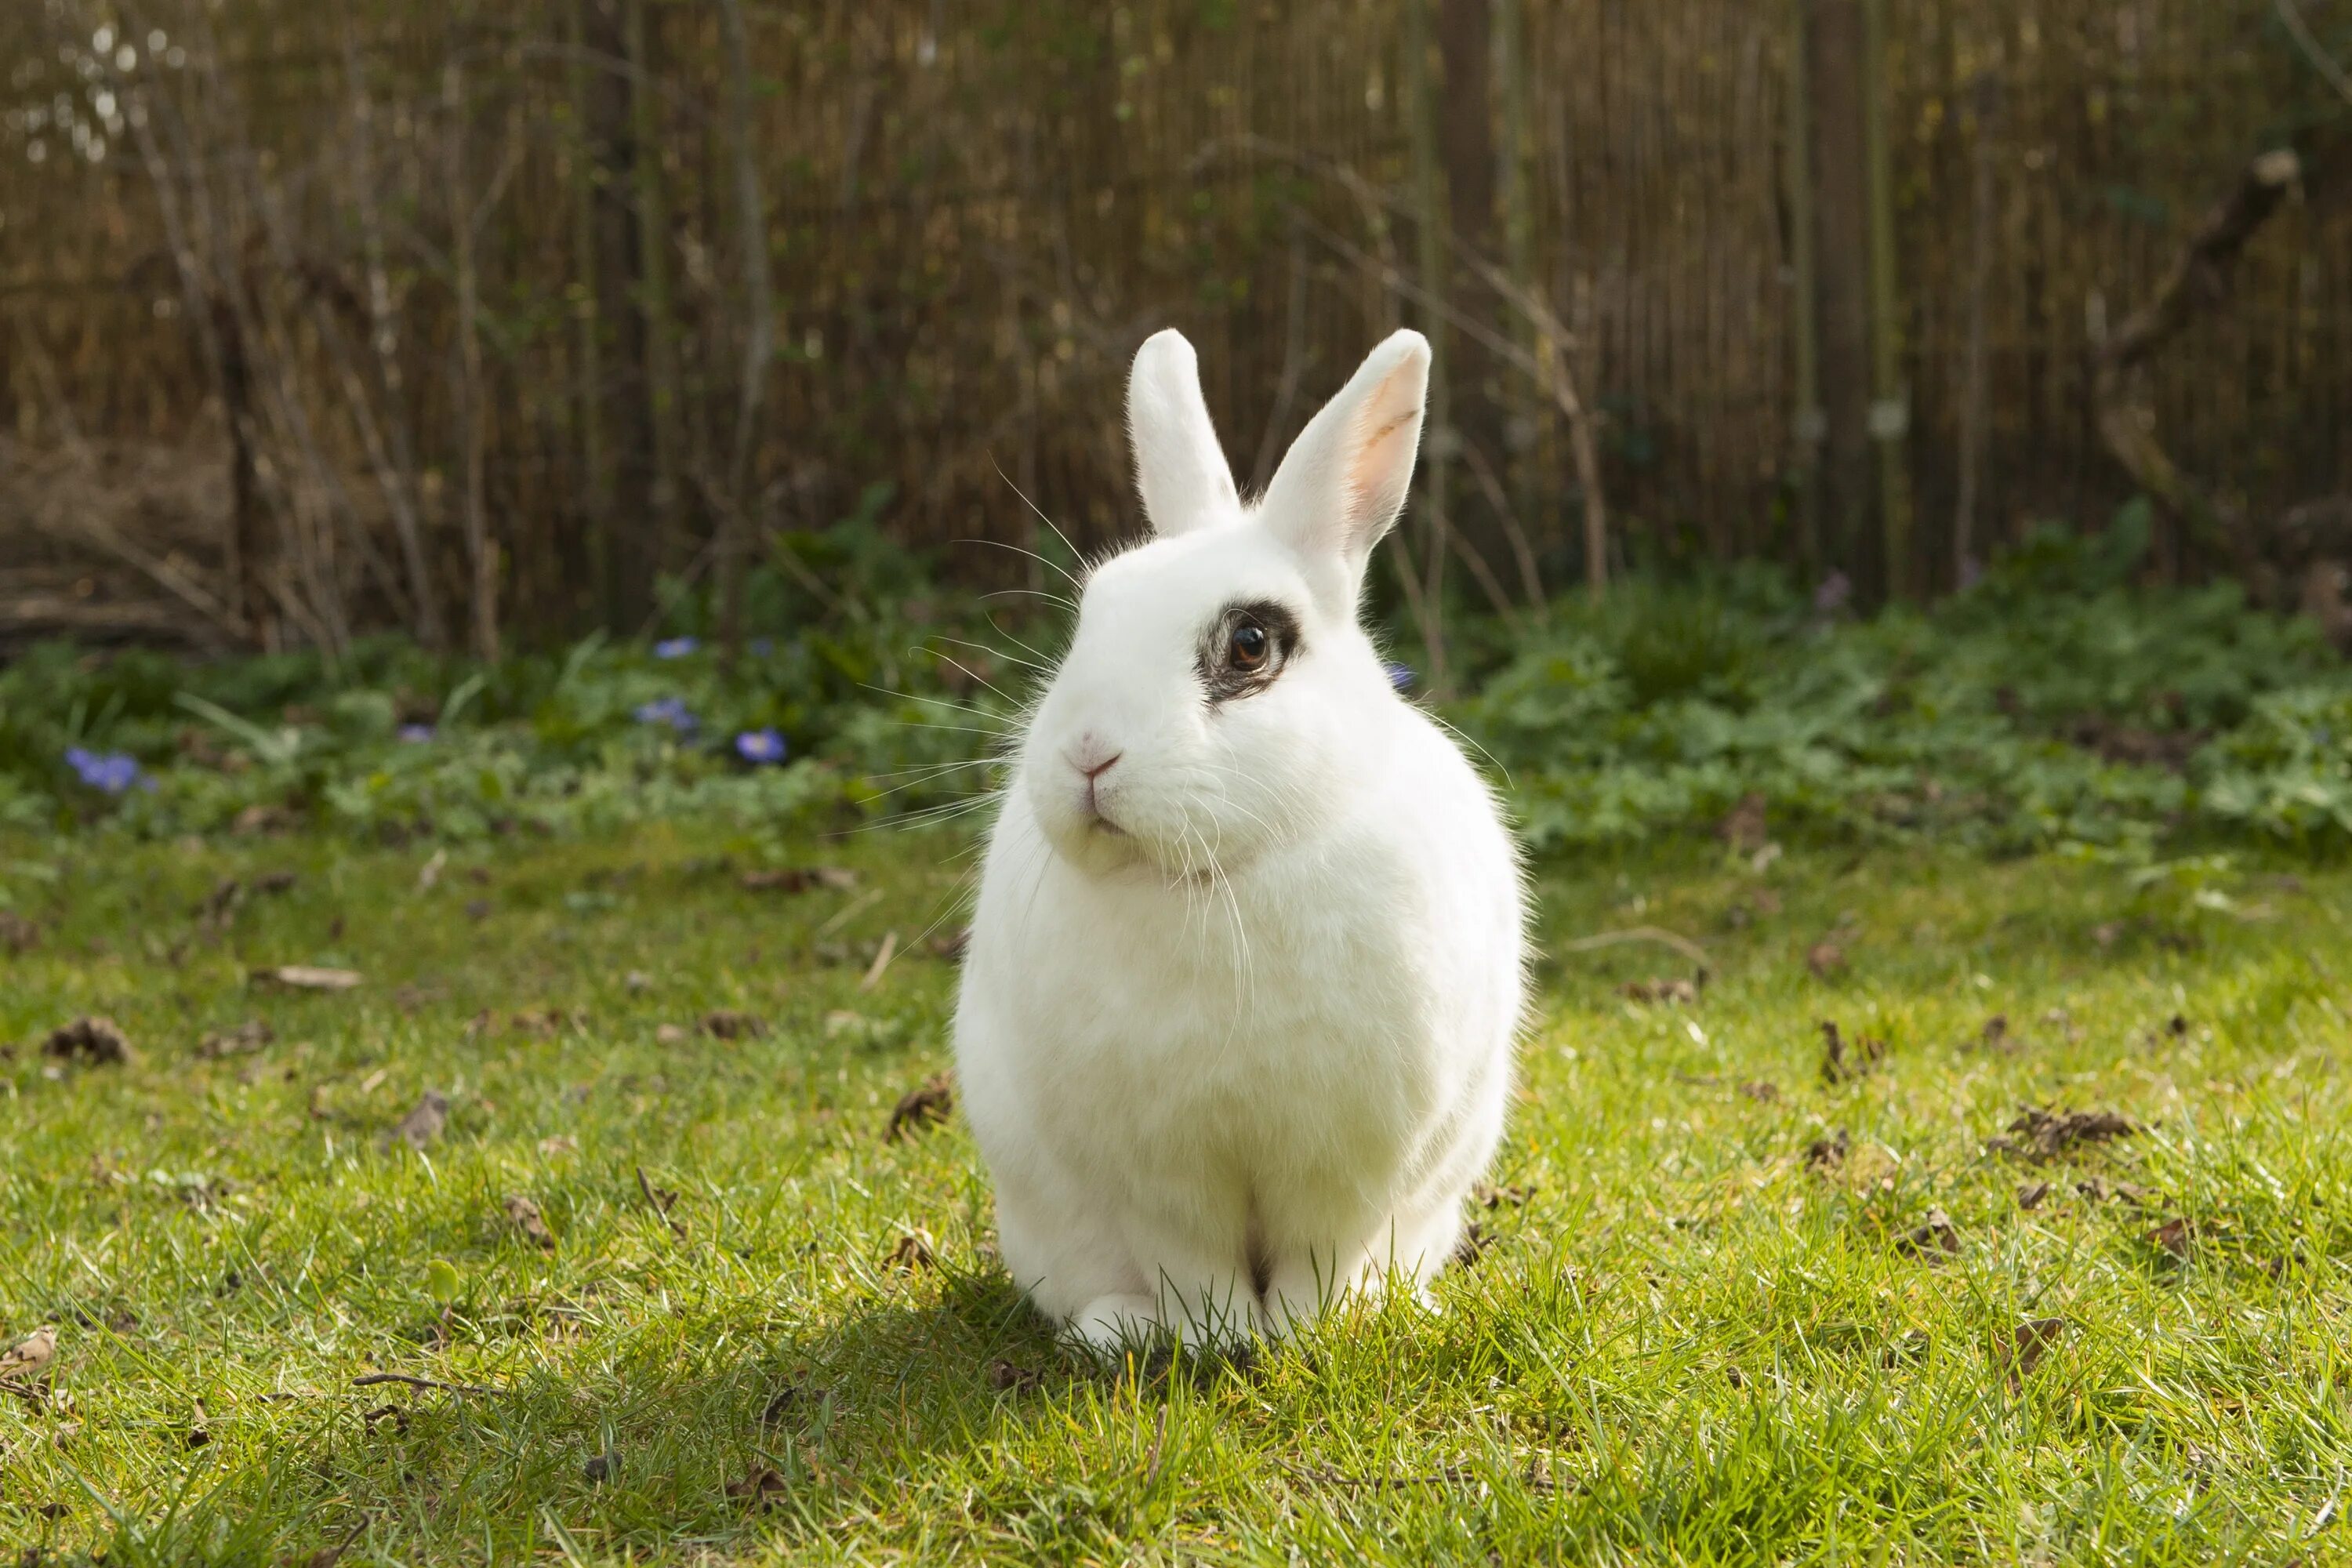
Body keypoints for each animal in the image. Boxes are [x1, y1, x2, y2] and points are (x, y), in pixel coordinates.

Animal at [955, 328, 1524, 1354]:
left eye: (1251, 643)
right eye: (1090, 616)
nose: (1088, 751)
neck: (1217, 875)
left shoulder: (1347, 1160)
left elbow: (1320, 1252)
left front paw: (1304, 1332)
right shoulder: (1157, 1172)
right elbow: (1191, 1259)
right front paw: (1215, 1336)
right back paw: (1117, 1329)